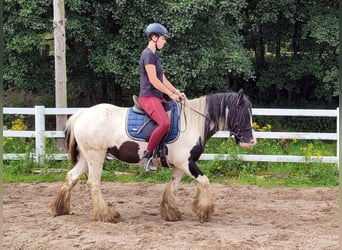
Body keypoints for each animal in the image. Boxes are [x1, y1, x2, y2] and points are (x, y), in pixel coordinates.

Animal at [51, 89, 256, 223]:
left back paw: (60, 208)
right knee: (93, 183)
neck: (192, 123)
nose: (251, 141)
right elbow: (204, 181)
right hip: (96, 156)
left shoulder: (180, 165)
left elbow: (172, 188)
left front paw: (171, 213)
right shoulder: (186, 163)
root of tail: (82, 114)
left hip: (86, 158)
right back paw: (106, 215)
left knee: (71, 177)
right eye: (242, 112)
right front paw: (204, 212)